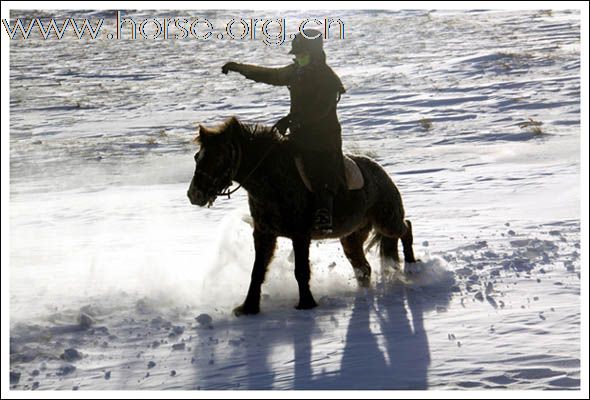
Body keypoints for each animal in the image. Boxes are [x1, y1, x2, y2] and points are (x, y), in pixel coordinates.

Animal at [187, 117, 418, 318]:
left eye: (218, 156)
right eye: (197, 157)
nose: (194, 195)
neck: (272, 179)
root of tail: (382, 173)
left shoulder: (300, 235)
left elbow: (300, 271)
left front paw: (306, 304)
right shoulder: (264, 233)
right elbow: (257, 271)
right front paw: (248, 308)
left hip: (386, 221)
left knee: (405, 228)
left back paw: (412, 266)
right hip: (351, 237)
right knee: (364, 268)